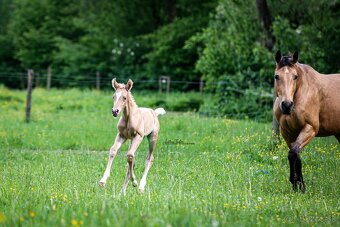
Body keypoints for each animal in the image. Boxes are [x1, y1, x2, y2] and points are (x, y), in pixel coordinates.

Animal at [274, 51, 340, 192]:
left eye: (295, 76)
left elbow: (293, 153)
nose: (286, 105)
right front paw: (299, 186)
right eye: (277, 76)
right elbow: (295, 155)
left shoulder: (310, 128)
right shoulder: (287, 132)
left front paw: (297, 184)